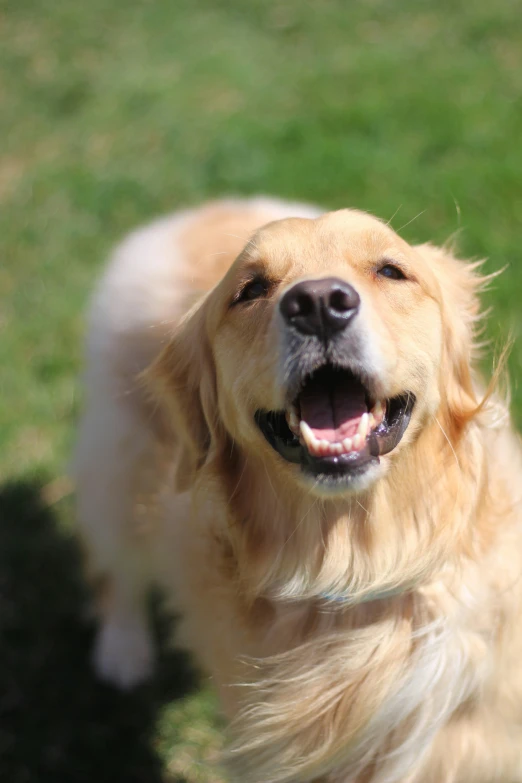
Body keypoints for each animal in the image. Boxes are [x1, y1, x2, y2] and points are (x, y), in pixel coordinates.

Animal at [75, 194, 520, 776]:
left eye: (391, 270)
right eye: (250, 289)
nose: (318, 303)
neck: (355, 569)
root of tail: (203, 211)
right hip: (125, 466)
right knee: (118, 567)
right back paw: (123, 651)